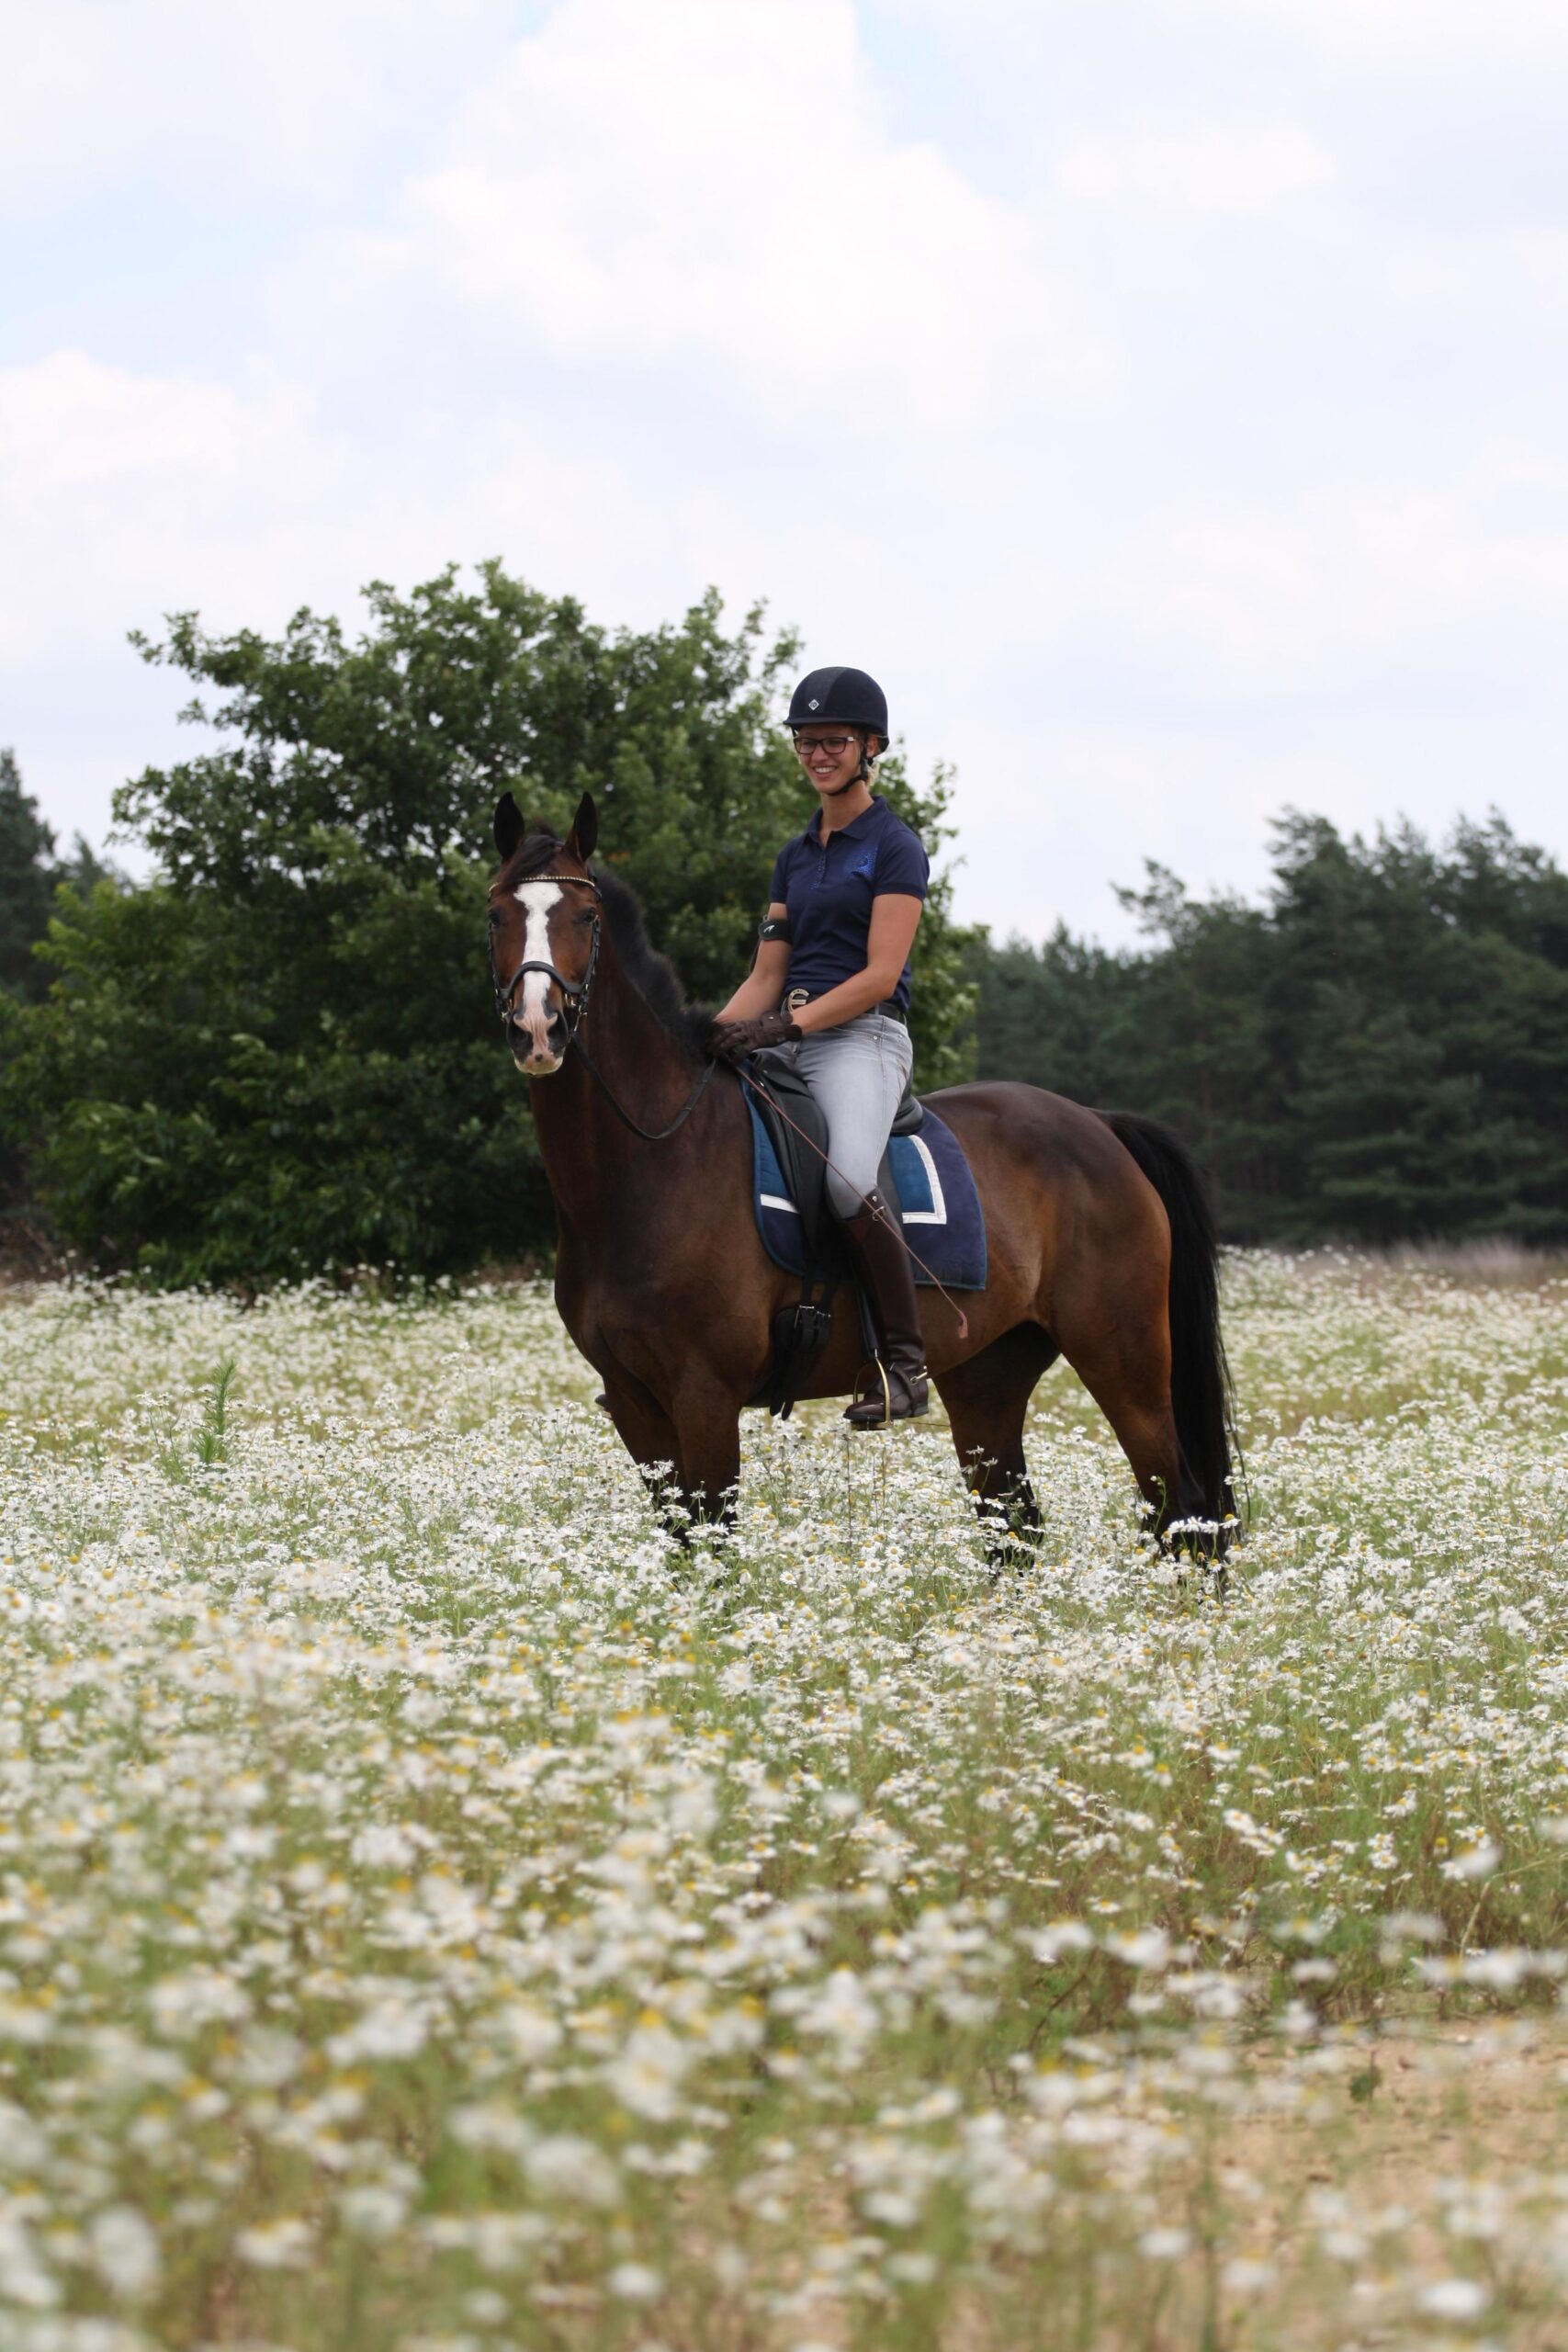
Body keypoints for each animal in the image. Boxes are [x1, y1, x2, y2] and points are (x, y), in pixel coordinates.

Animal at [487, 790, 1235, 1554]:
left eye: (586, 917)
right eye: (497, 915)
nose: (538, 1029)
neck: (650, 1163)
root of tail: (1097, 1123)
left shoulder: (704, 1396)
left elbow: (715, 1547)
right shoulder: (633, 1403)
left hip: (1125, 1363)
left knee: (1183, 1511)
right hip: (987, 1376)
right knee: (1014, 1529)